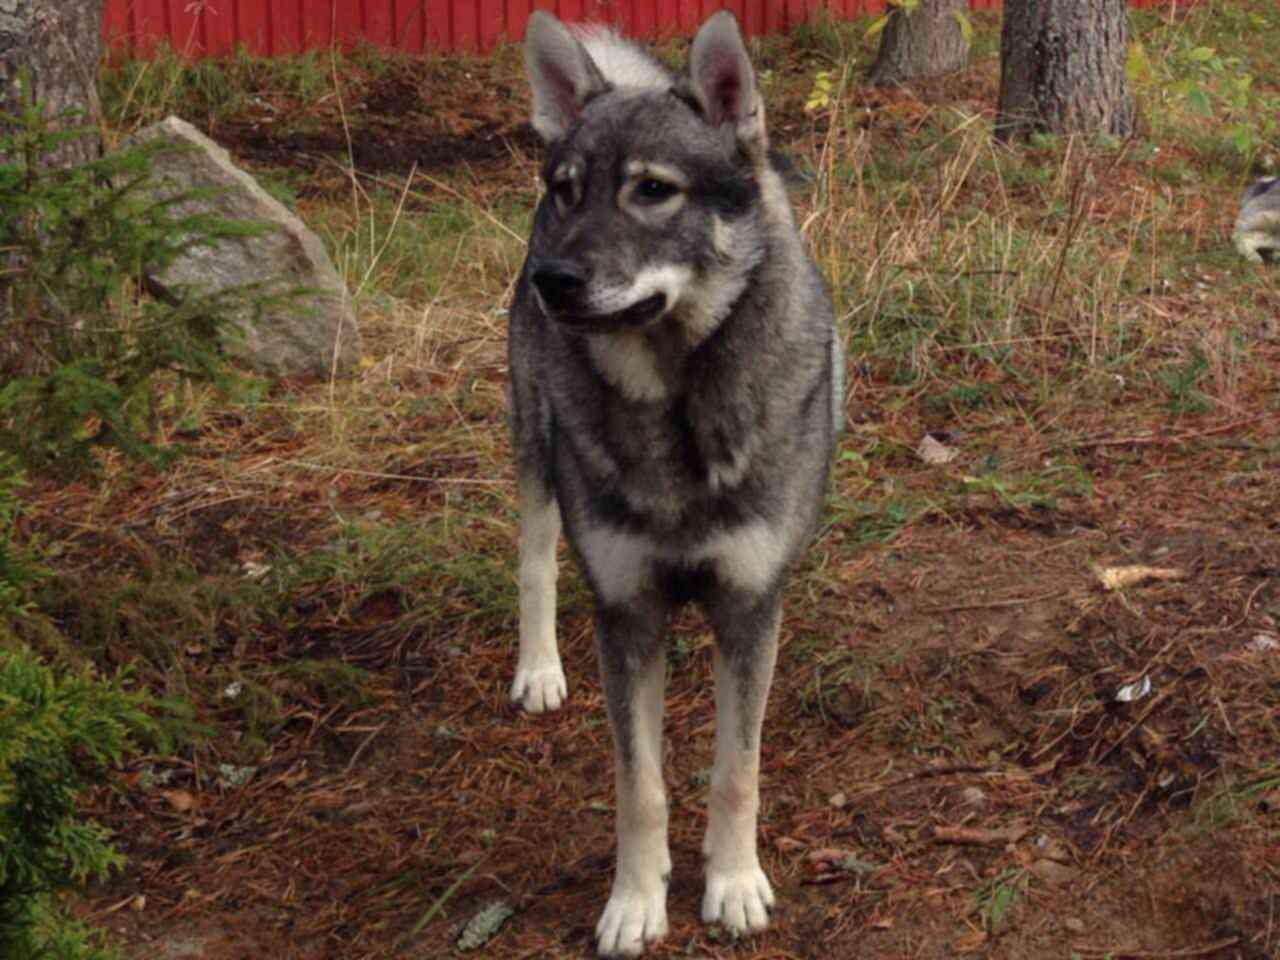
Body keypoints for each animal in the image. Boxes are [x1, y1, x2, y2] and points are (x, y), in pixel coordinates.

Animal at [504, 11, 844, 957]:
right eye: (567, 191)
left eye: (654, 190)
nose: (553, 280)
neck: (677, 407)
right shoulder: (626, 615)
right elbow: (641, 785)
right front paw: (634, 900)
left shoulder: (750, 608)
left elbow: (737, 770)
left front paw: (732, 883)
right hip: (536, 448)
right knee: (535, 561)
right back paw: (538, 668)